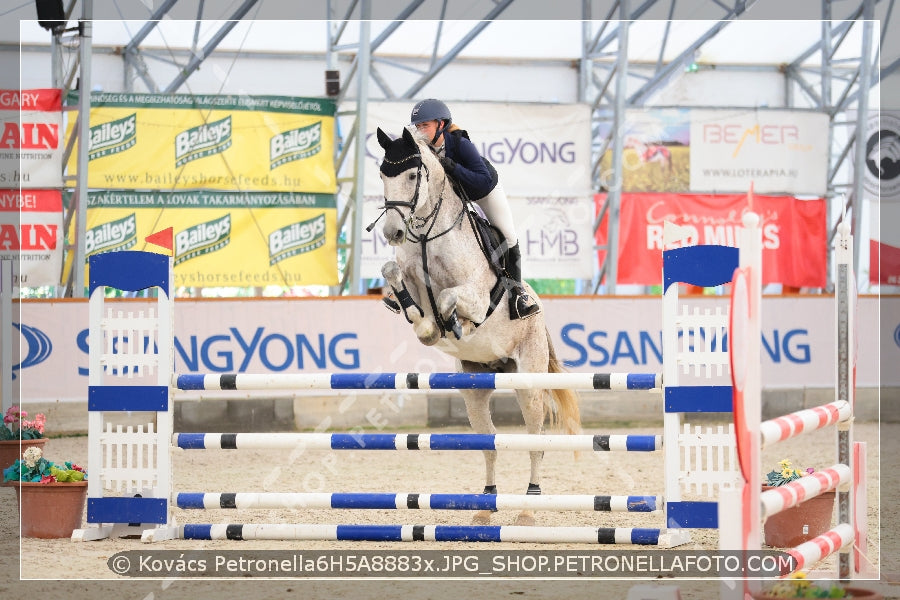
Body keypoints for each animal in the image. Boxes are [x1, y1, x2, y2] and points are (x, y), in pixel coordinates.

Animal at [376, 125, 580, 524]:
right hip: (474, 390)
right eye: (382, 175)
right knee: (490, 445)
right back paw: (486, 506)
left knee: (535, 441)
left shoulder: (476, 294)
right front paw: (424, 324)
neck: (427, 236)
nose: (393, 233)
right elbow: (397, 277)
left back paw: (528, 508)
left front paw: (453, 326)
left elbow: (447, 299)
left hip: (528, 383)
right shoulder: (407, 273)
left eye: (411, 176)